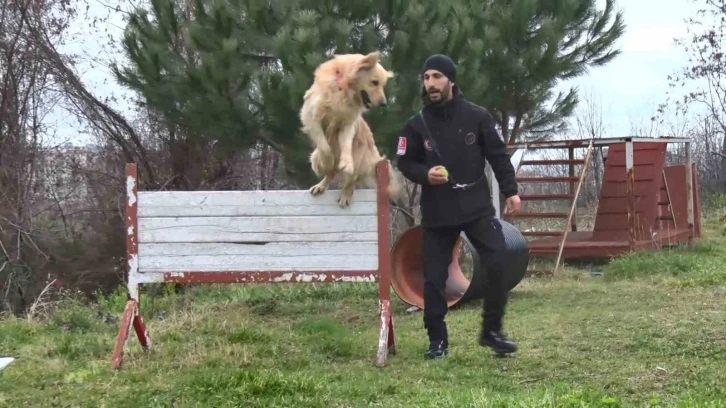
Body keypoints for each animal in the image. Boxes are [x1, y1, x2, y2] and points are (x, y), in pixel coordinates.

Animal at [300, 51, 406, 207]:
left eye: (383, 85)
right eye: (375, 82)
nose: (384, 103)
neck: (343, 88)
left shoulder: (346, 125)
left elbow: (346, 148)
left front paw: (346, 163)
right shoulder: (312, 118)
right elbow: (325, 148)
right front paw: (327, 162)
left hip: (361, 156)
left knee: (352, 178)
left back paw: (345, 193)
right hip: (314, 158)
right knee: (331, 172)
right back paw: (321, 185)